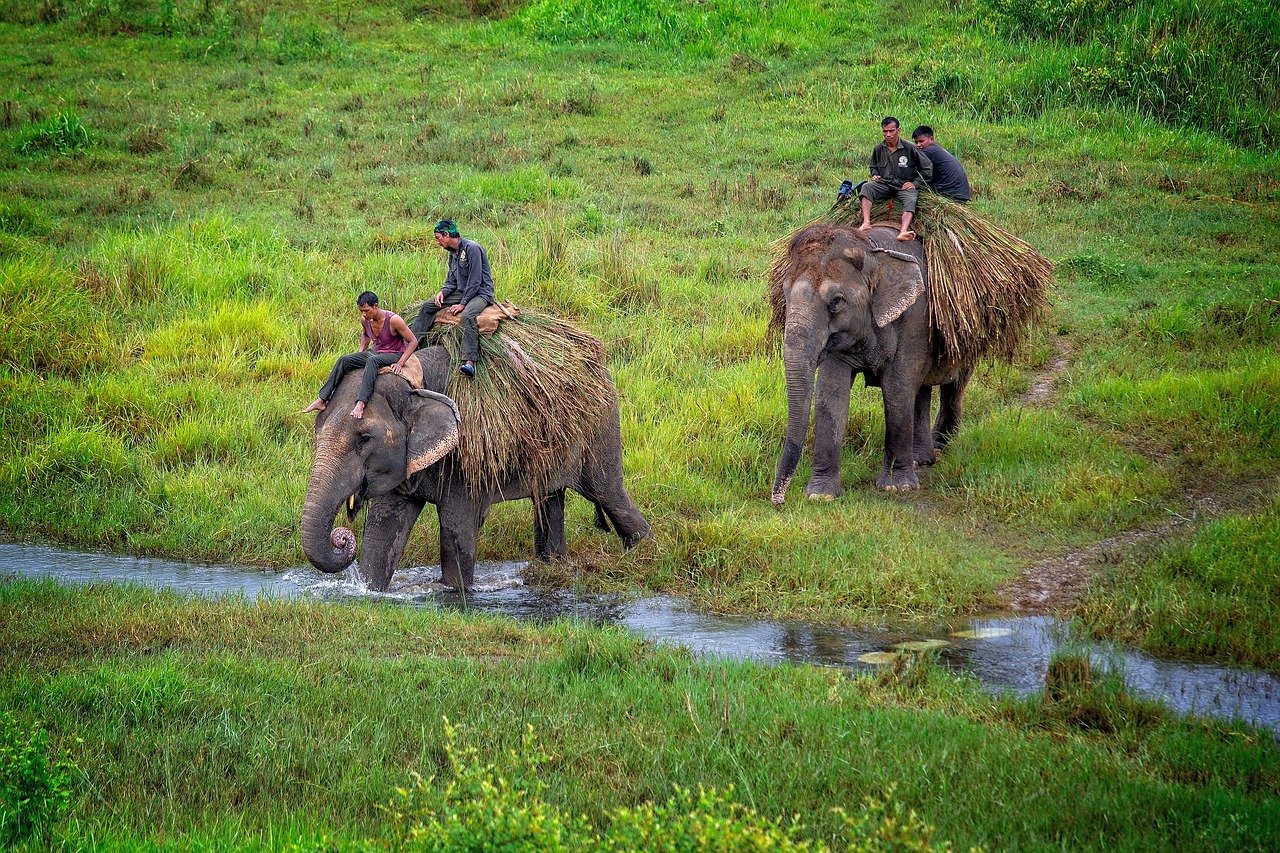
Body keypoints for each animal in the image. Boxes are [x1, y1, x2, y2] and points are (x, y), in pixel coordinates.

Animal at [299, 343, 650, 589]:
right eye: (317, 427)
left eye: (364, 438)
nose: (341, 537)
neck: (414, 381)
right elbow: (382, 531)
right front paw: (371, 592)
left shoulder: (466, 453)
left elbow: (456, 530)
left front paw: (457, 593)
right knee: (550, 501)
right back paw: (551, 569)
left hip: (601, 425)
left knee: (607, 493)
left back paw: (643, 554)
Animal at [762, 222, 972, 499]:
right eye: (784, 295)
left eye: (836, 302)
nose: (778, 499)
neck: (870, 250)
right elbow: (830, 396)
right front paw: (821, 495)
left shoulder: (915, 315)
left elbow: (896, 390)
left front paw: (897, 487)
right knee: (921, 390)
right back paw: (921, 459)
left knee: (953, 382)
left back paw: (939, 445)